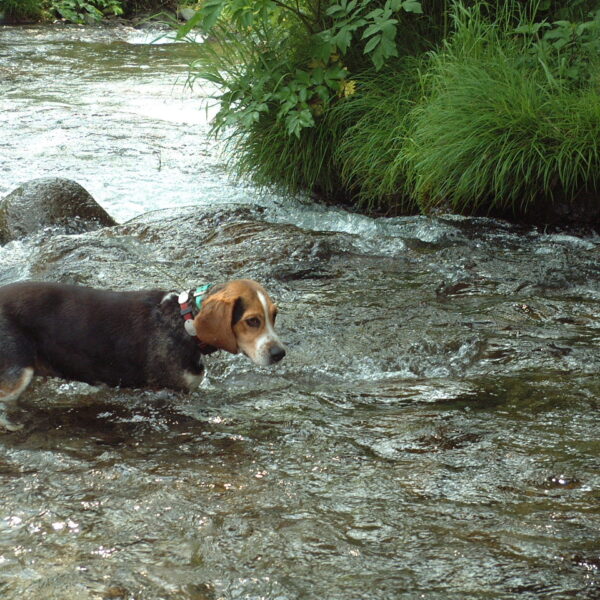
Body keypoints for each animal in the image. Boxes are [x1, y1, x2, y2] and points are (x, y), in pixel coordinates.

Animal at [0, 278, 284, 428]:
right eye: (252, 321)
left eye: (274, 315)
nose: (280, 353)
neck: (186, 321)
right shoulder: (170, 392)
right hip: (17, 375)